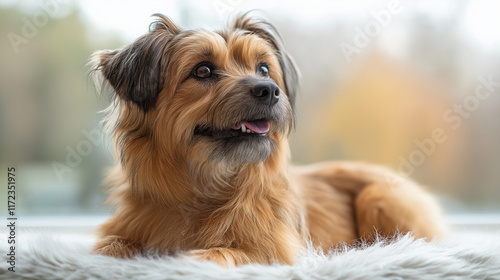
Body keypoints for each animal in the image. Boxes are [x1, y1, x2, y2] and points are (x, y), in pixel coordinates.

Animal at [92, 13, 448, 266]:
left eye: (263, 69)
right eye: (203, 71)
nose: (270, 90)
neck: (205, 187)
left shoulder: (272, 251)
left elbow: (220, 252)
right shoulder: (119, 234)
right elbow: (108, 247)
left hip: (379, 197)